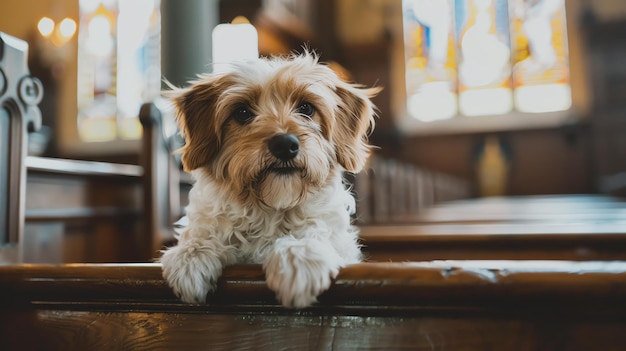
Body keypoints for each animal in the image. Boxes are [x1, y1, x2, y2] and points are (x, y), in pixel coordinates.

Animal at [158, 51, 378, 310]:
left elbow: (312, 232)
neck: (270, 211)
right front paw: (190, 256)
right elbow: (202, 235)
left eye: (306, 107)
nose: (285, 144)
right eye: (242, 112)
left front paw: (298, 260)